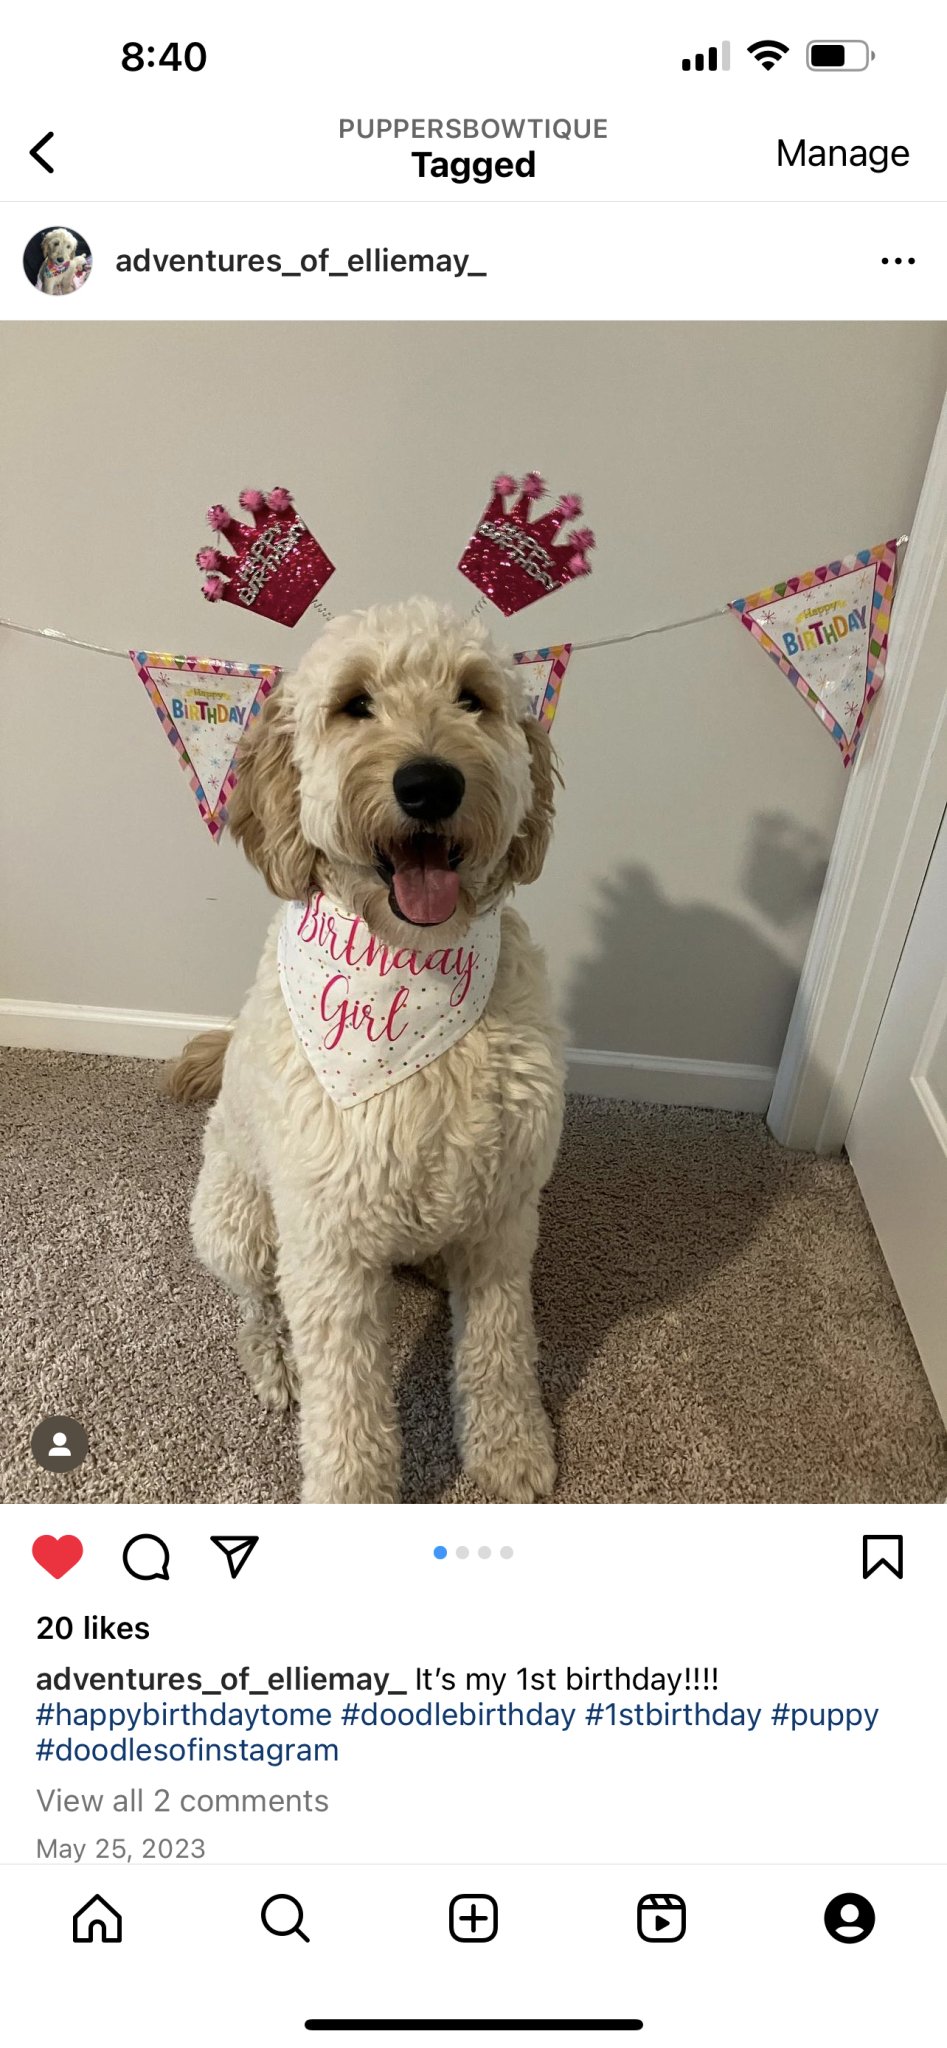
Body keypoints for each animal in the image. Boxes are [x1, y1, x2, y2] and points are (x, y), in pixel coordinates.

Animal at [172, 593, 561, 1507]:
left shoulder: (504, 1214)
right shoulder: (329, 1242)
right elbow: (345, 1397)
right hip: (238, 1226)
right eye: (355, 705)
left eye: (471, 698)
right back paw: (272, 1365)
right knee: (256, 1308)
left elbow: (499, 1346)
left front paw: (508, 1449)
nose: (429, 783)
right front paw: (352, 1494)